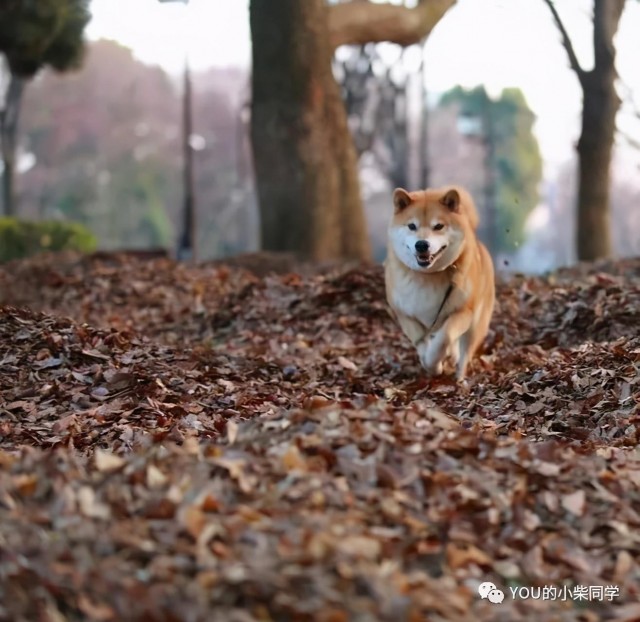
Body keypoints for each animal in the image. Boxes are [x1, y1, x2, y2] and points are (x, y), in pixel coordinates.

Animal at [384, 185, 496, 380]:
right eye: (412, 226)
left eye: (438, 226)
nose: (421, 244)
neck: (428, 276)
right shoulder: (406, 316)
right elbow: (421, 342)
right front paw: (431, 364)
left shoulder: (462, 312)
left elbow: (444, 338)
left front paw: (435, 362)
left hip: (476, 325)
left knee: (465, 352)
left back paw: (459, 378)